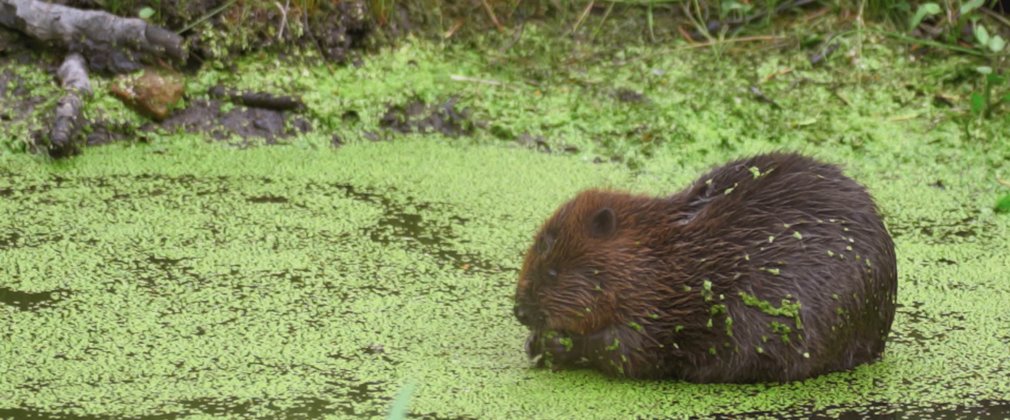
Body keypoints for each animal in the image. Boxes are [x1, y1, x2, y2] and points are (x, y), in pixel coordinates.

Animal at [517, 152, 896, 381]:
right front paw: (535, 343)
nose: (519, 312)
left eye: (551, 273)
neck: (661, 256)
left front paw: (555, 344)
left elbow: (625, 350)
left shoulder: (653, 309)